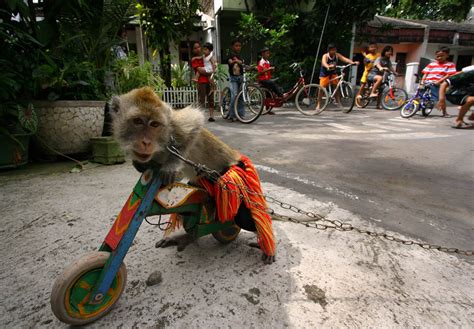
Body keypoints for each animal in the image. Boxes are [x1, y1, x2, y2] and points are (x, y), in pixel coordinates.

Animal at [109, 86, 276, 262]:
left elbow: (195, 122)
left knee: (243, 218)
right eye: (138, 121)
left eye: (154, 124)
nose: (146, 142)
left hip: (235, 176)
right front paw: (140, 164)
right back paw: (187, 236)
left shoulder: (176, 127)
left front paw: (171, 164)